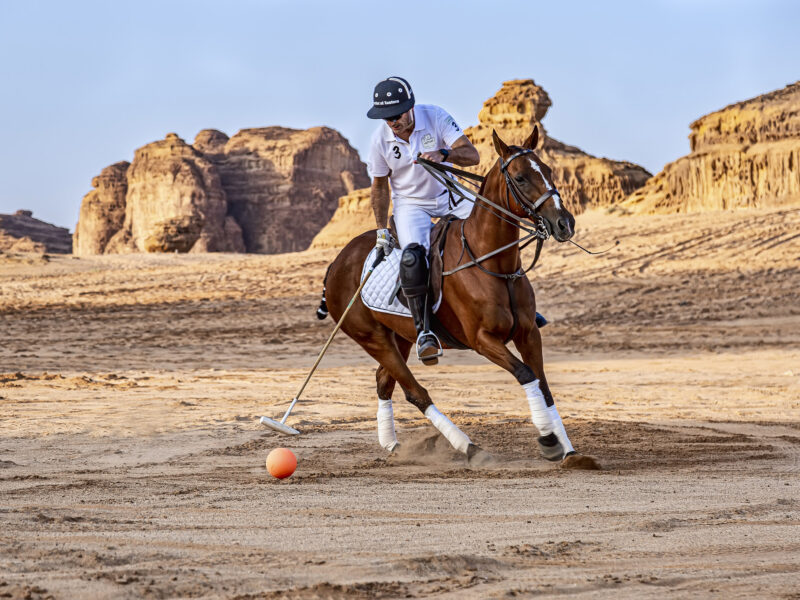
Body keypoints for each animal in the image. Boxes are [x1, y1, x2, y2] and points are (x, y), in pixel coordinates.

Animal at [318, 126, 592, 468]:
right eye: (520, 177)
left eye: (549, 171)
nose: (565, 223)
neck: (494, 263)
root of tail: (337, 263)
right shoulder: (481, 339)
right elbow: (525, 374)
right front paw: (548, 441)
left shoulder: (529, 333)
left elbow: (543, 384)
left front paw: (570, 451)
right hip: (371, 337)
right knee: (414, 391)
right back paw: (468, 447)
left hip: (402, 334)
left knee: (384, 380)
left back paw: (393, 445)